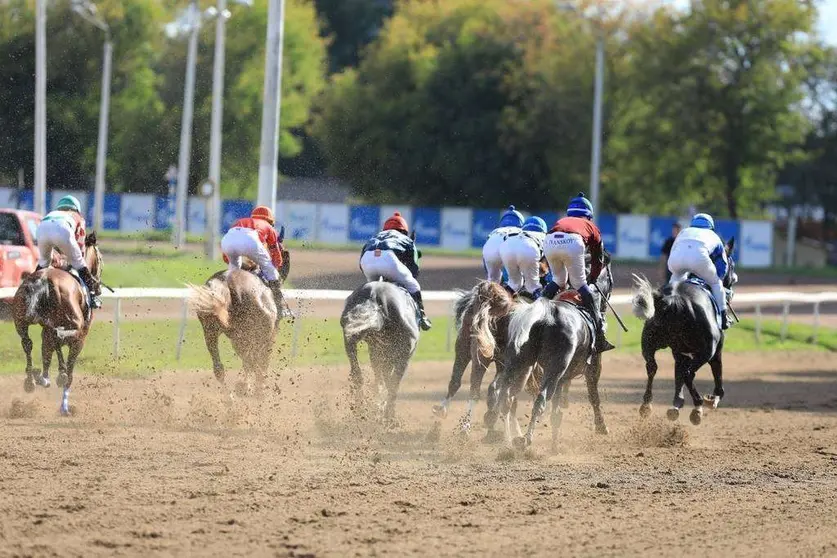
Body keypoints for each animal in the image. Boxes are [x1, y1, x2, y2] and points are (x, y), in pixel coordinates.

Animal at [12, 232, 103, 416]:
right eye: (100, 259)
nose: (98, 288)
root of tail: (42, 280)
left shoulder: (46, 327)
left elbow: (50, 350)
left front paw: (51, 375)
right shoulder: (80, 339)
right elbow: (69, 371)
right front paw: (64, 404)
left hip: (21, 321)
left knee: (28, 342)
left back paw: (31, 379)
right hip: (74, 324)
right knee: (55, 336)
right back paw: (49, 378)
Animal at [189, 252, 292, 396]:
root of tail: (226, 283)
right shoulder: (268, 334)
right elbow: (262, 358)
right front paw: (253, 386)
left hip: (211, 330)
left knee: (219, 367)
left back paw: (231, 397)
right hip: (254, 331)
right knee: (253, 360)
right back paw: (254, 389)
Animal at [340, 280, 418, 420]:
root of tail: (374, 293)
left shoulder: (377, 351)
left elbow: (382, 378)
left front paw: (378, 407)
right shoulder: (400, 354)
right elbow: (390, 382)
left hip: (350, 338)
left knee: (357, 374)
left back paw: (360, 410)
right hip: (404, 354)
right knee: (393, 384)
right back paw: (389, 417)